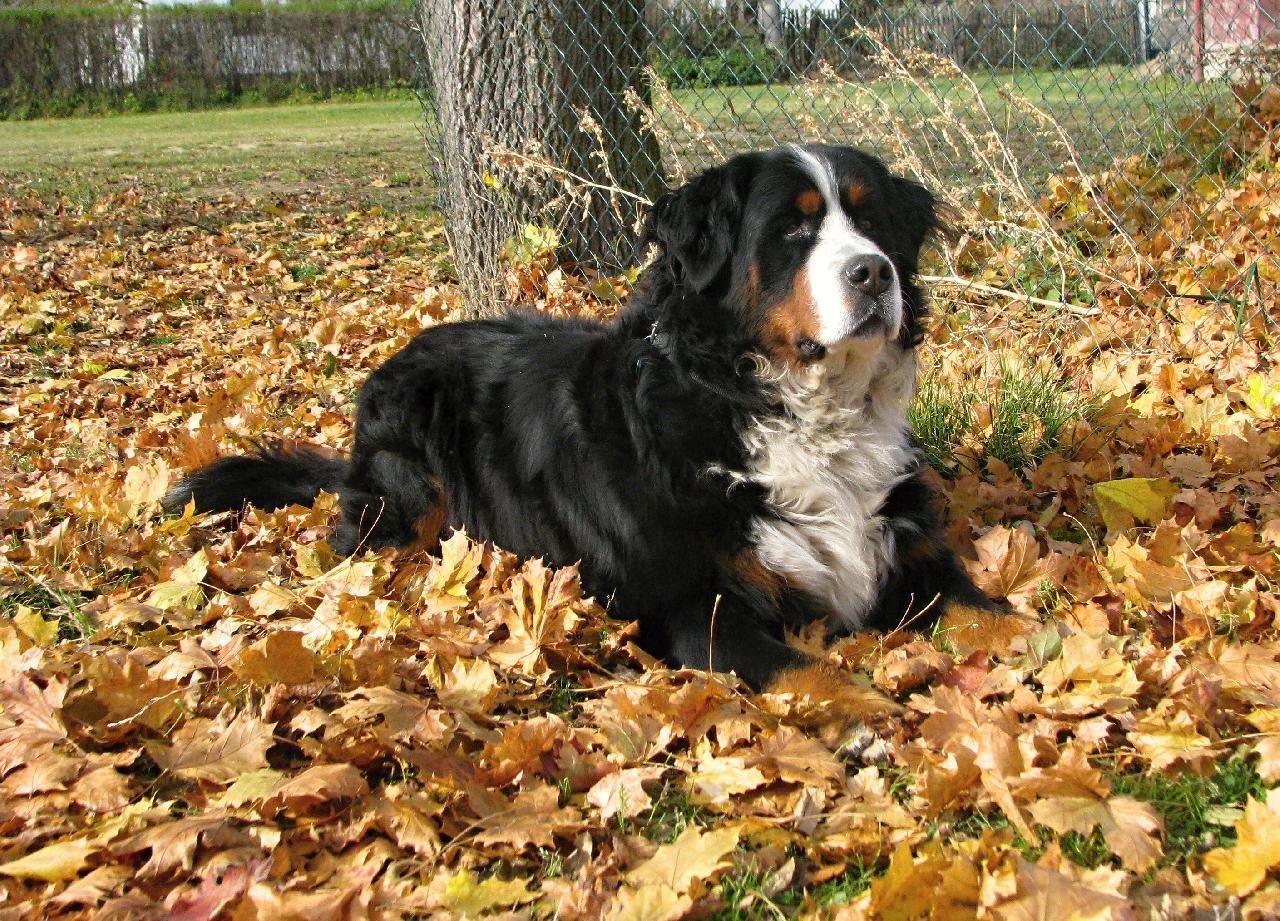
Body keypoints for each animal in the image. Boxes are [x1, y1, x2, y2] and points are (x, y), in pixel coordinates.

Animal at [165, 143, 1006, 698]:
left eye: (874, 220)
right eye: (793, 232)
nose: (874, 272)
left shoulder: (911, 554)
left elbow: (996, 612)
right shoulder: (694, 606)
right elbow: (819, 676)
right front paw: (877, 720)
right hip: (407, 486)